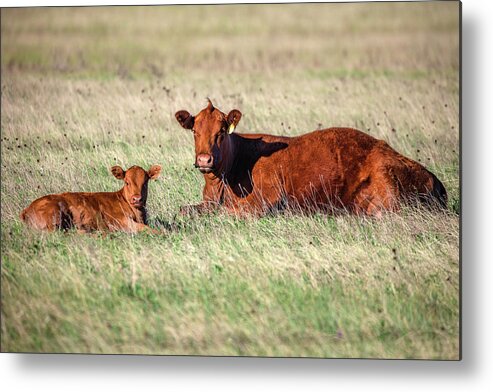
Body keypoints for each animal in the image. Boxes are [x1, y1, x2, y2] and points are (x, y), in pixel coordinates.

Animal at [20, 165, 161, 233]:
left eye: (145, 183)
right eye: (127, 182)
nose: (137, 199)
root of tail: (27, 209)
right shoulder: (121, 222)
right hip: (54, 216)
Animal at [173, 99, 446, 217]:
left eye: (220, 132)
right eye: (195, 131)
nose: (204, 160)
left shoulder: (265, 200)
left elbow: (229, 213)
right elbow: (184, 210)